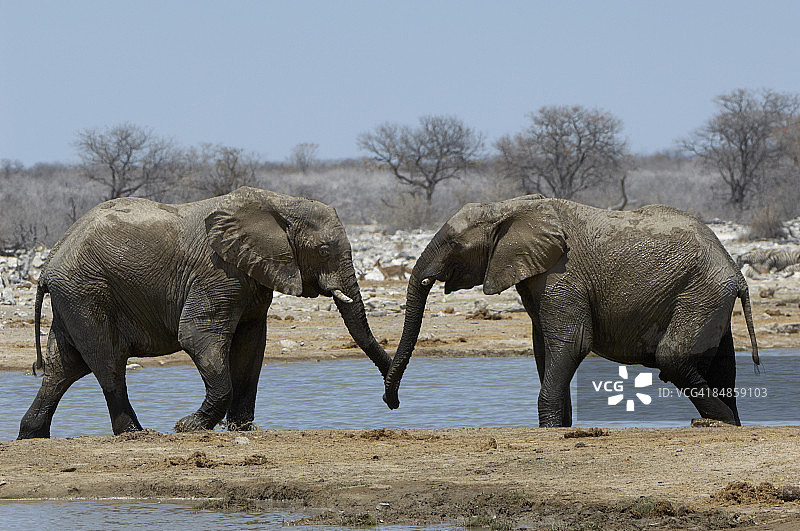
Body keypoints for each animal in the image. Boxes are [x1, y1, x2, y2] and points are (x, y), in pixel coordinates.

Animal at [18, 187, 391, 439]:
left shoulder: (251, 277)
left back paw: (31, 435)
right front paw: (187, 427)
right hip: (87, 294)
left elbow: (251, 345)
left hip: (72, 299)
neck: (277, 203)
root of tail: (48, 265)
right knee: (107, 363)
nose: (392, 400)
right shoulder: (217, 272)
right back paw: (136, 433)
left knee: (63, 368)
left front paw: (242, 428)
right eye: (324, 250)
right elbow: (198, 337)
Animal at [382, 195, 759, 427]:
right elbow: (545, 350)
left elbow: (572, 343)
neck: (509, 207)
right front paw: (557, 427)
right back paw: (731, 423)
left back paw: (720, 422)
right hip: (709, 296)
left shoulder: (562, 274)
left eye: (454, 243)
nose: (392, 402)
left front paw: (550, 427)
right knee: (723, 367)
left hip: (700, 291)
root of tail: (736, 269)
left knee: (673, 358)